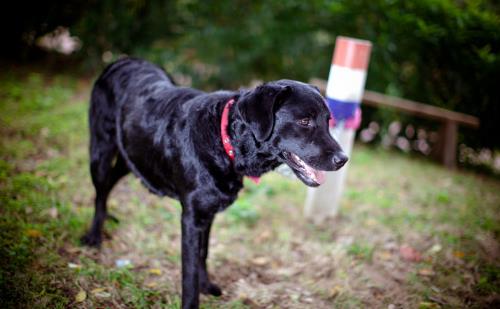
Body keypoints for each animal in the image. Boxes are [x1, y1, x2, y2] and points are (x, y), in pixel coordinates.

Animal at [82, 56, 348, 306]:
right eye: (304, 121)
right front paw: (192, 300)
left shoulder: (208, 212)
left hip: (132, 157)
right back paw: (94, 236)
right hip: (101, 150)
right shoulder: (192, 217)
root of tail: (123, 60)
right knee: (100, 190)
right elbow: (188, 271)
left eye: (328, 121)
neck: (224, 141)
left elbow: (204, 252)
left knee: (110, 183)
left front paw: (206, 285)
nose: (343, 159)